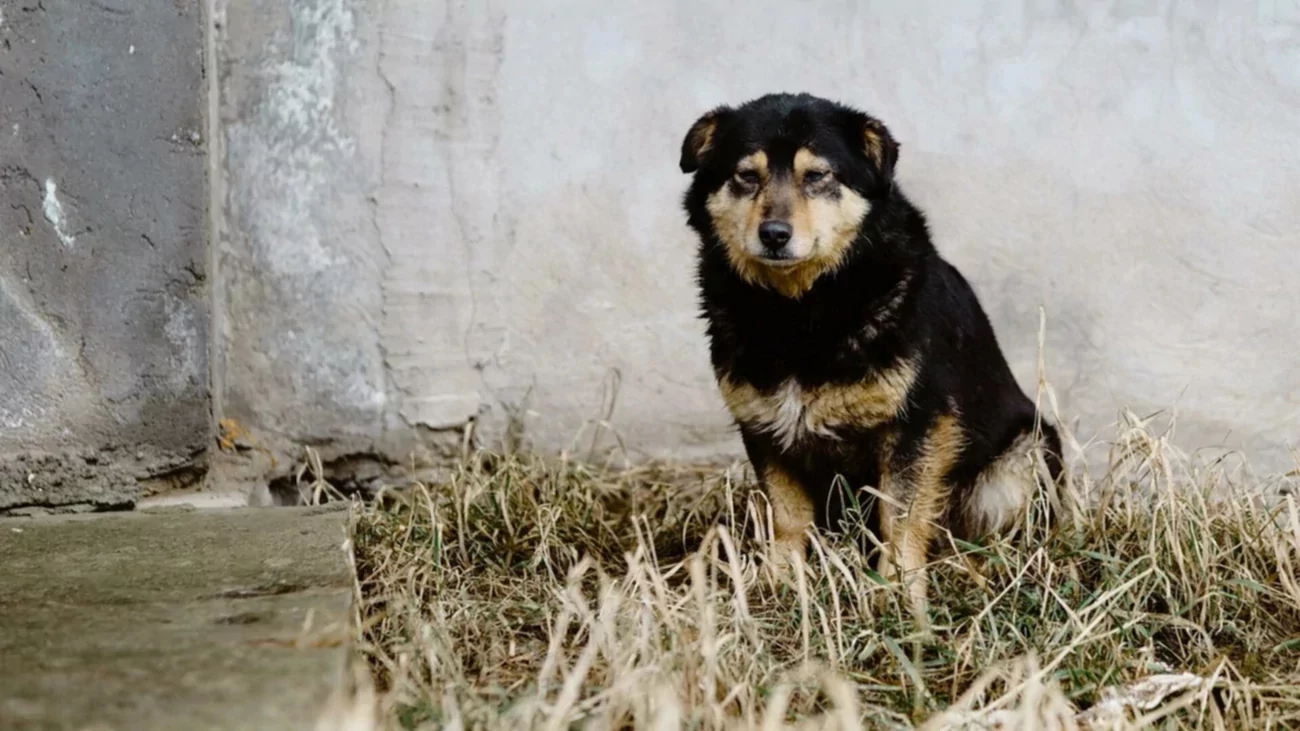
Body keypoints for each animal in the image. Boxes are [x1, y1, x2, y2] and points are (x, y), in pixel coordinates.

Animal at [676, 89, 1060, 613]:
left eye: (818, 176)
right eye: (746, 176)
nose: (774, 234)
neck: (800, 310)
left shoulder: (919, 424)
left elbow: (900, 516)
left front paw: (897, 593)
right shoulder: (763, 426)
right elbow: (788, 516)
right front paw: (780, 583)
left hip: (1026, 455)